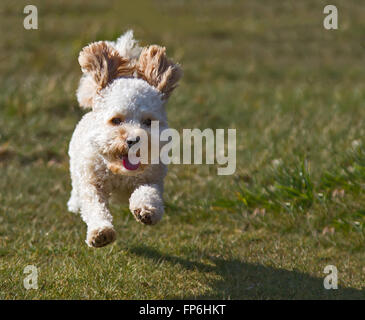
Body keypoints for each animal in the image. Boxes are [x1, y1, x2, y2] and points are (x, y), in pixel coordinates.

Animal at [67, 31, 182, 248]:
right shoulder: (92, 183)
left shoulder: (153, 178)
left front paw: (146, 210)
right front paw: (100, 233)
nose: (133, 140)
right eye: (116, 120)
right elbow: (94, 207)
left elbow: (148, 193)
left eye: (148, 121)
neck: (119, 172)